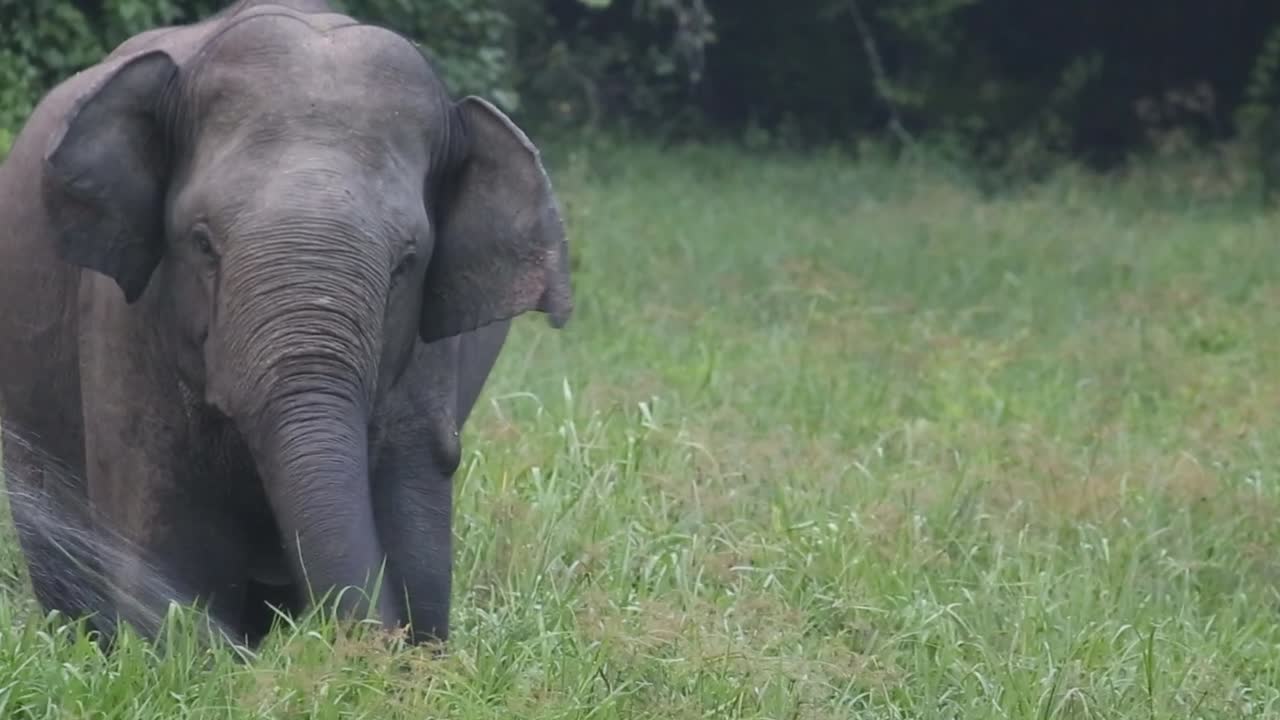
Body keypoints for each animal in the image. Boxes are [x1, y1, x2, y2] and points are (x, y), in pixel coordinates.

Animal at [0, 0, 572, 648]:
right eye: (202, 243)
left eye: (407, 262)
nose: (370, 644)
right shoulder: (124, 315)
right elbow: (163, 532)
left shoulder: (425, 359)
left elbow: (412, 509)